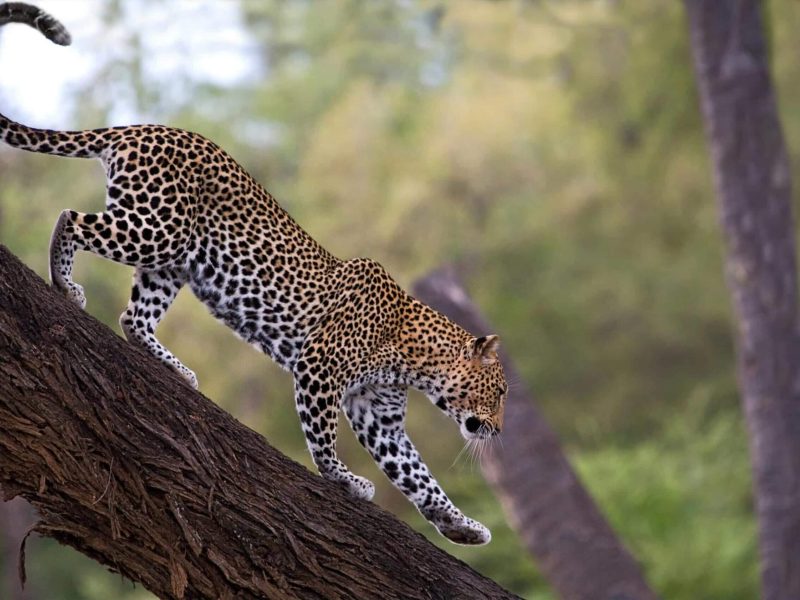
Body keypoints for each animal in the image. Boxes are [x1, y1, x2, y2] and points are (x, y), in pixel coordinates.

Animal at [1, 3, 508, 545]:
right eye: (498, 393)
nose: (499, 430)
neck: (415, 357)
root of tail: (144, 127)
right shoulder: (320, 366)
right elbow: (324, 438)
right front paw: (345, 480)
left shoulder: (380, 415)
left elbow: (418, 475)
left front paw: (460, 526)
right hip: (155, 228)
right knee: (70, 219)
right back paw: (65, 284)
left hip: (172, 261)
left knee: (133, 317)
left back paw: (175, 368)